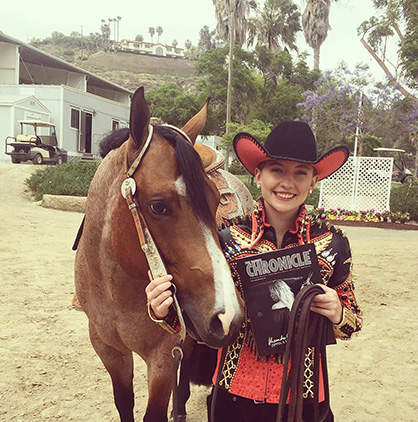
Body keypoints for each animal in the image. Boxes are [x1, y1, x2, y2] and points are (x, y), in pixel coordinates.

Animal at [73, 86, 247, 422]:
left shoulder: (163, 356)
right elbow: (124, 402)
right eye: (159, 206)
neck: (117, 292)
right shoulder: (108, 349)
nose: (228, 316)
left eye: (215, 200)